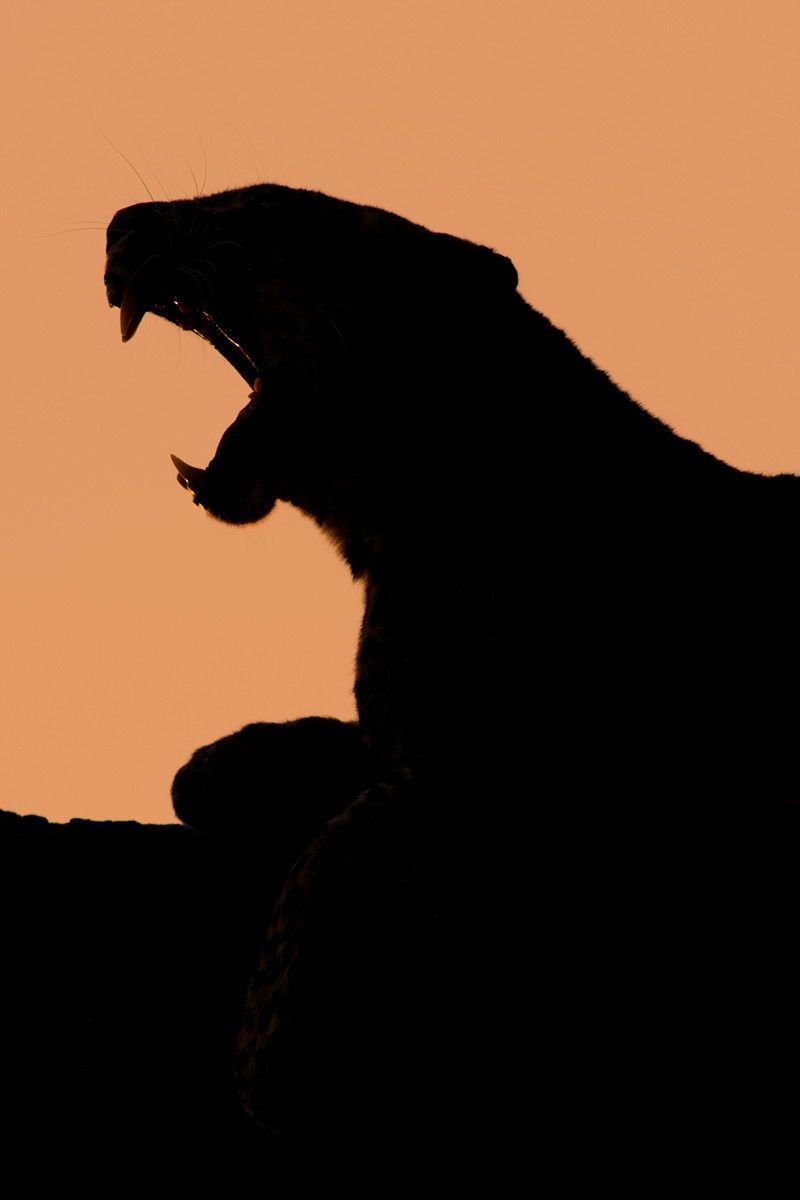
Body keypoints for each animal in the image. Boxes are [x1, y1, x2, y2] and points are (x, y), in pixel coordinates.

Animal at [104, 184, 800, 1172]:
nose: (121, 224)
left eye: (267, 205)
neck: (389, 515)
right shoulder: (413, 733)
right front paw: (238, 762)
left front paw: (275, 1062)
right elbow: (235, 778)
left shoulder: (533, 765)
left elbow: (336, 864)